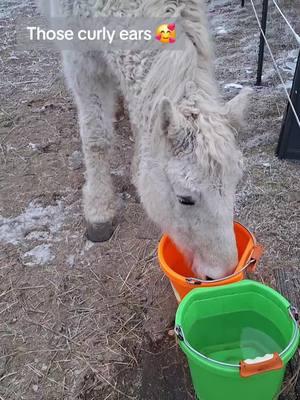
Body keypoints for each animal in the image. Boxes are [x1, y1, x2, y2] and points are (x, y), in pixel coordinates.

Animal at [37, 0, 251, 280]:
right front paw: (98, 209)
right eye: (184, 198)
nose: (222, 274)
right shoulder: (81, 61)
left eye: (235, 184)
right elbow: (96, 137)